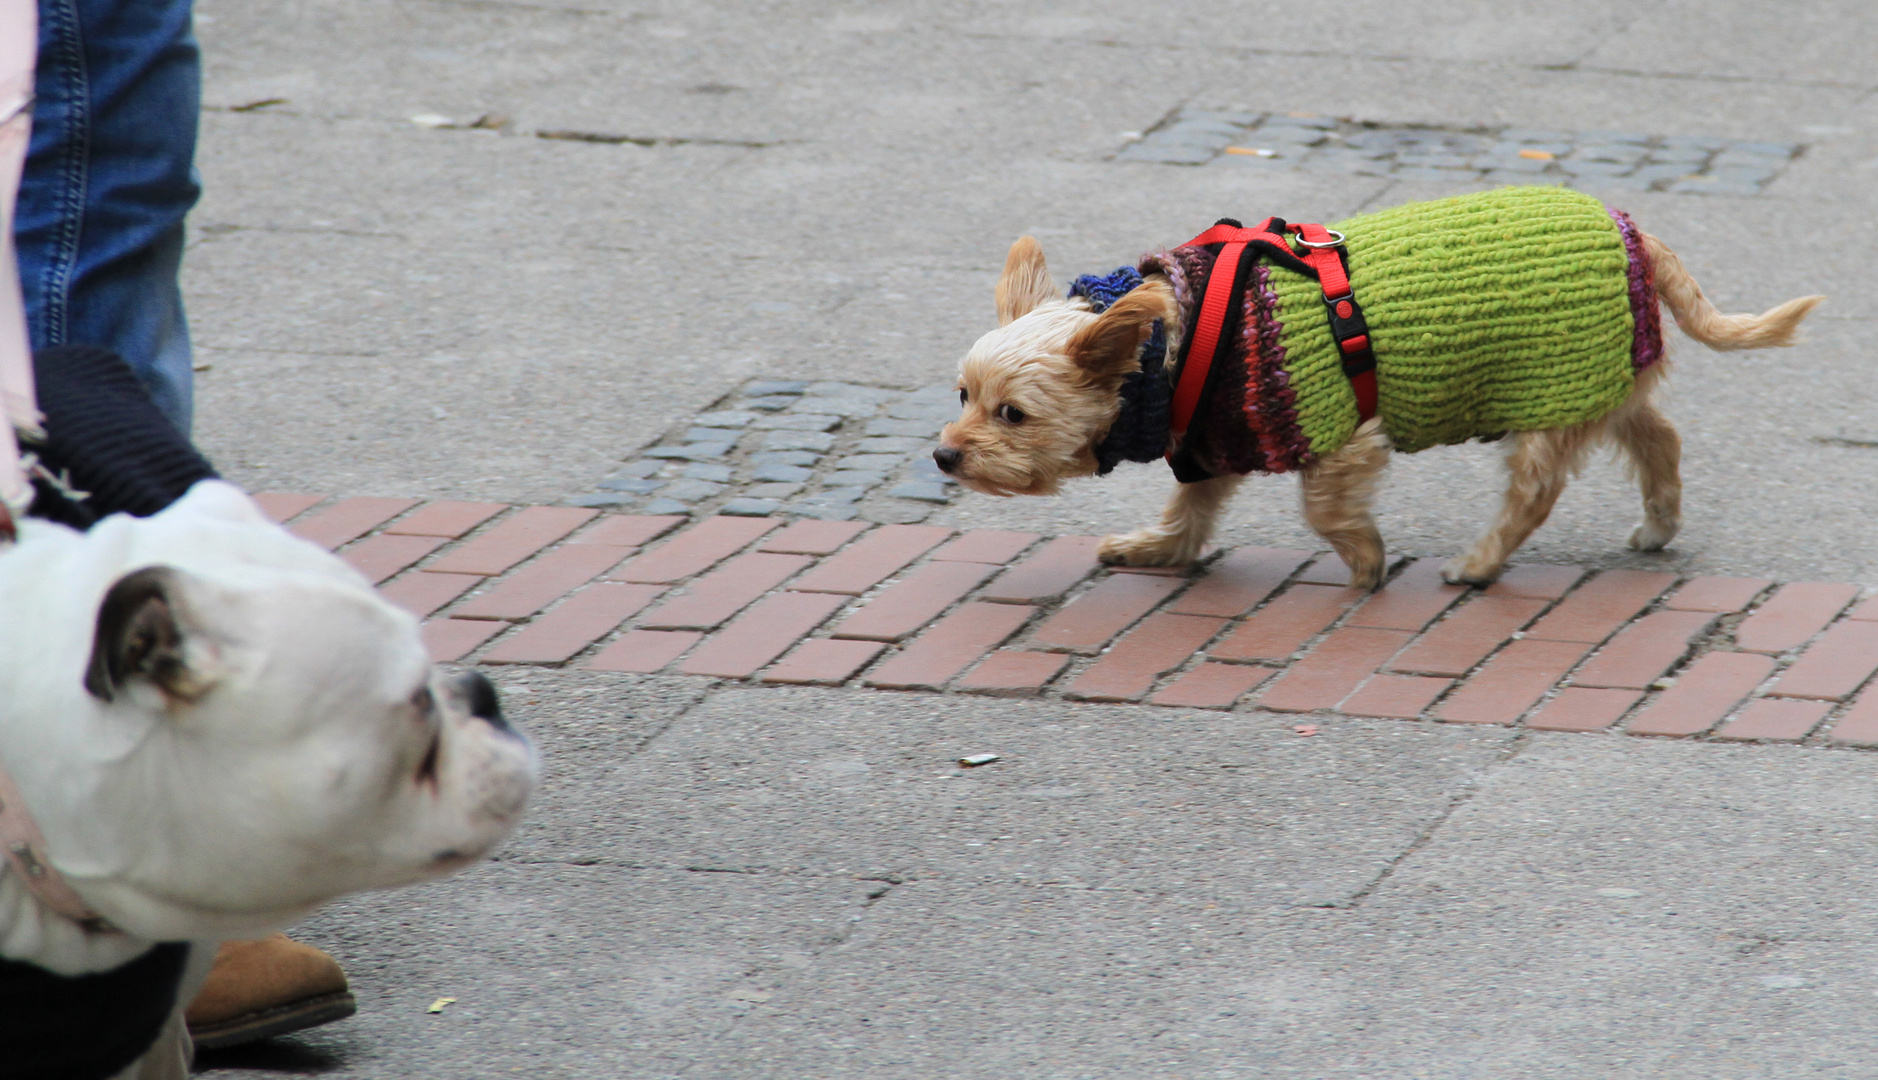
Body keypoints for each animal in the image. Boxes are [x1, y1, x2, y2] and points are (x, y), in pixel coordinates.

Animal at [935, 187, 1817, 593]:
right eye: (961, 397)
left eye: (1012, 415)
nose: (944, 457)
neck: (1173, 349)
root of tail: (1635, 232)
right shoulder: (1208, 442)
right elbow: (1190, 509)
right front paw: (1159, 549)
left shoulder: (1338, 433)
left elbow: (1326, 510)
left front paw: (1365, 564)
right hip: (1595, 383)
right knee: (1658, 437)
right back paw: (1659, 522)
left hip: (1550, 391)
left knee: (1535, 490)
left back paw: (1479, 564)